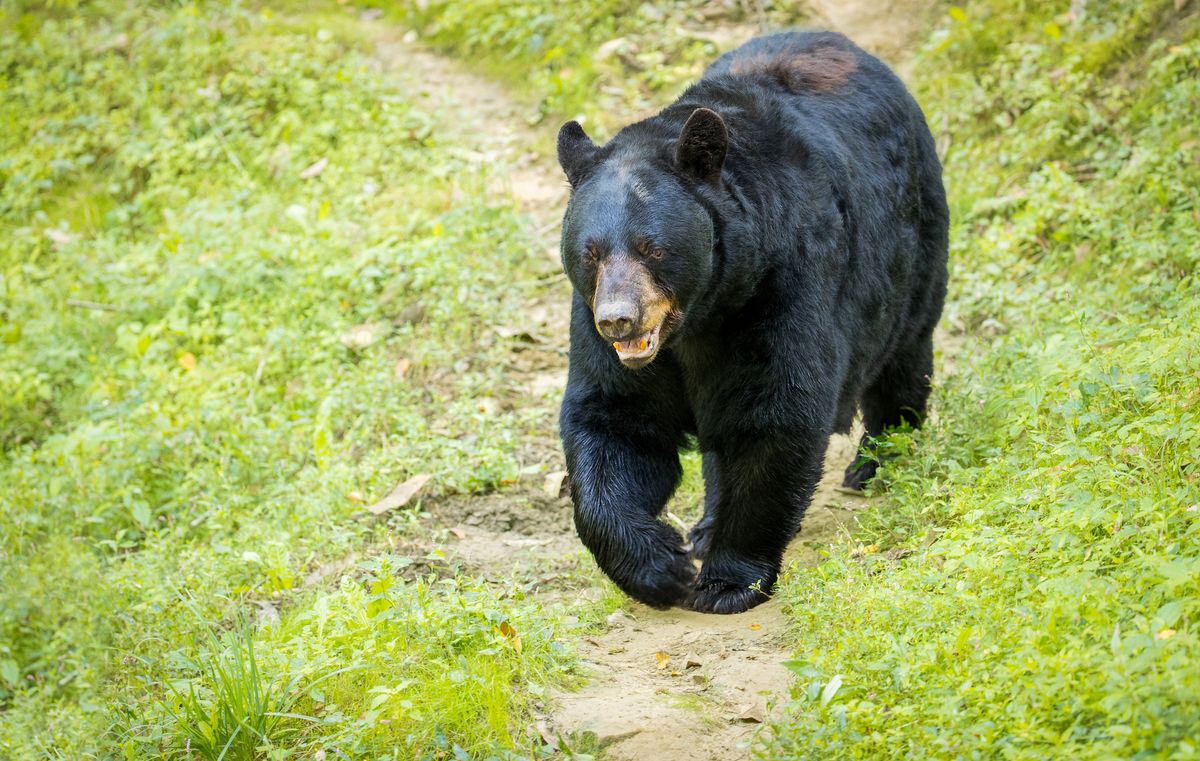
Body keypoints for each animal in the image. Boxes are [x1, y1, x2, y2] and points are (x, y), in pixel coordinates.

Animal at [555, 31, 948, 614]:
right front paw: (660, 565)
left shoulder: (782, 285)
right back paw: (704, 525)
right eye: (591, 253)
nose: (619, 321)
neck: (702, 316)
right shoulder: (600, 333)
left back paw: (876, 463)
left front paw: (729, 582)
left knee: (903, 357)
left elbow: (776, 411)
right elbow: (614, 421)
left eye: (652, 248)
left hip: (914, 248)